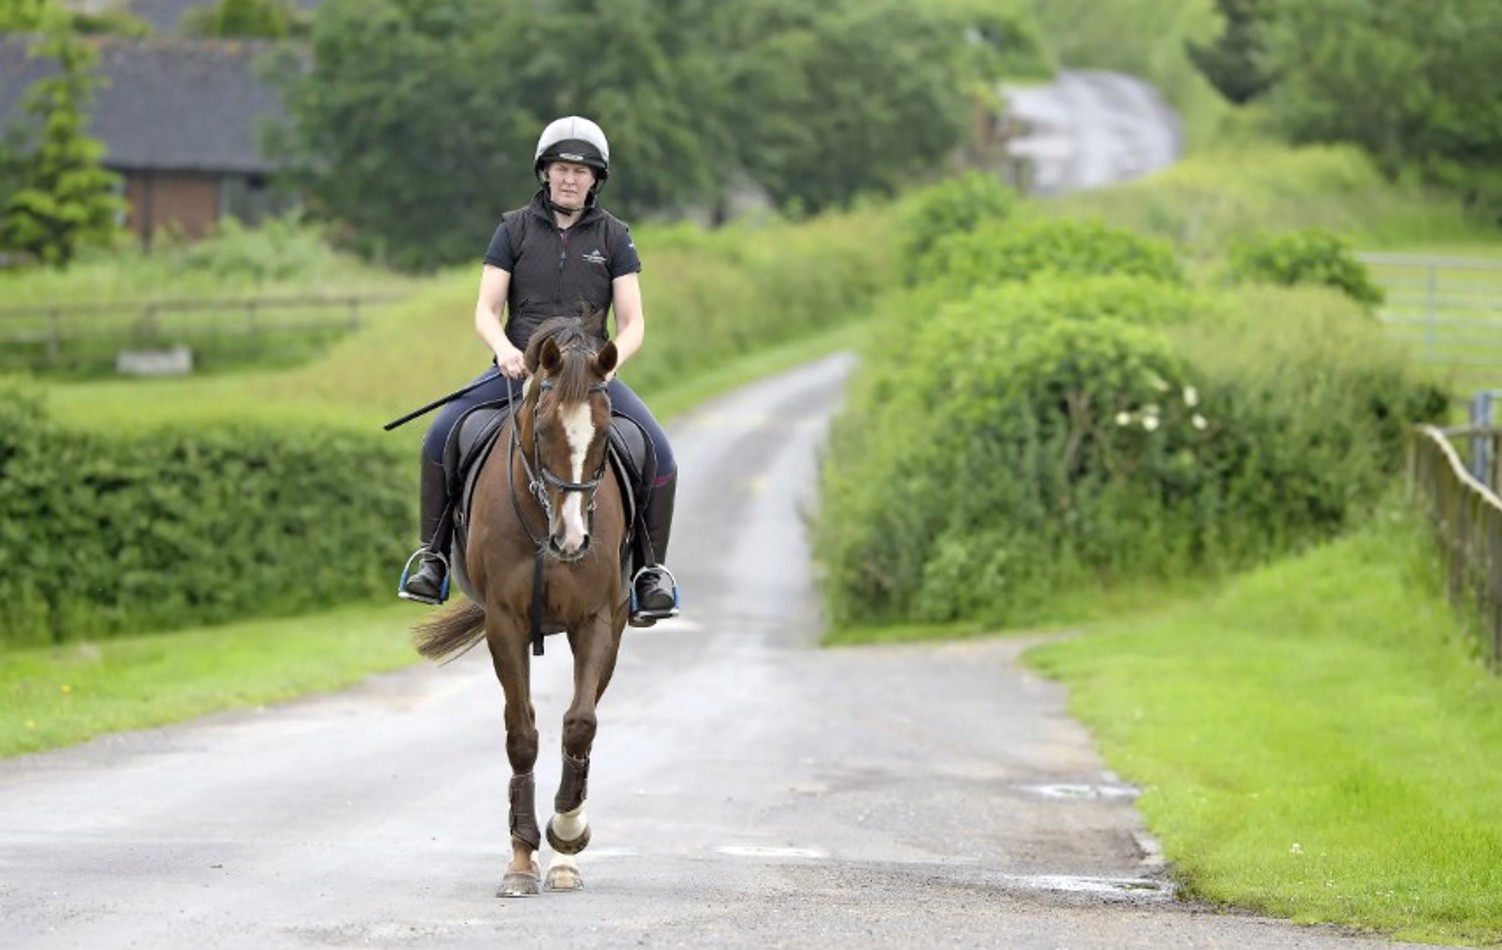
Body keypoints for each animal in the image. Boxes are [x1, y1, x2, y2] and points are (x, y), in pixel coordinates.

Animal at [413, 313, 629, 897]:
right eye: (545, 428)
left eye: (604, 434)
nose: (572, 540)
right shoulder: (504, 623)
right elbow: (522, 735)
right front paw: (520, 858)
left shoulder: (597, 621)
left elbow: (579, 723)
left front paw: (567, 835)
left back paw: (565, 861)